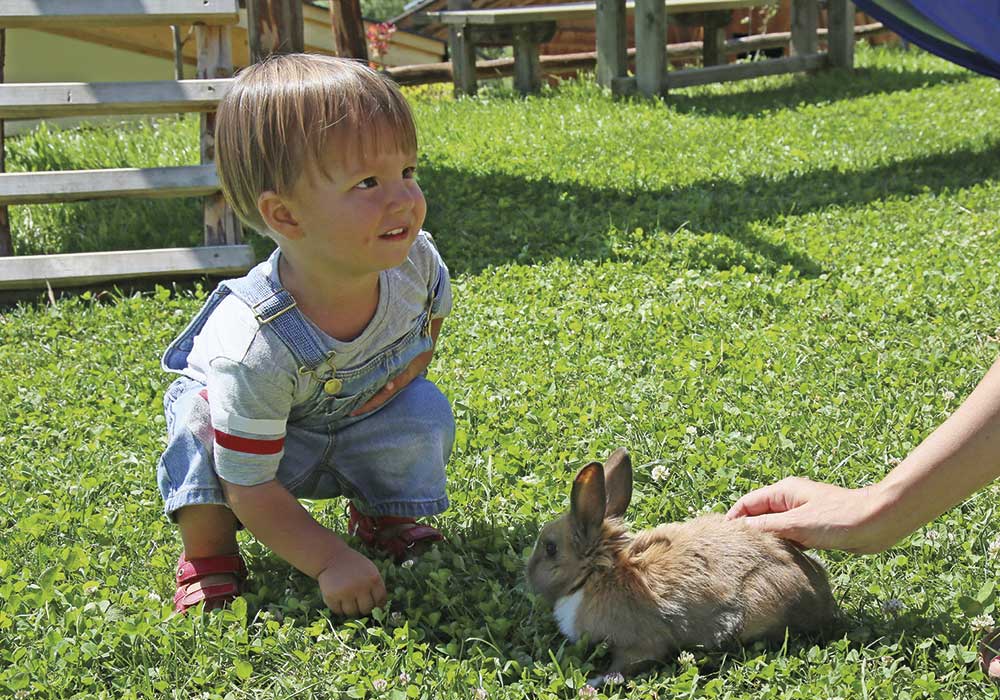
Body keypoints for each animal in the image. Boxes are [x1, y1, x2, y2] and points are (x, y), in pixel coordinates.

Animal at [524, 446, 836, 680]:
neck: (597, 574)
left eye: (550, 548)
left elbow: (627, 664)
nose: (527, 574)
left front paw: (595, 683)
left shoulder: (640, 644)